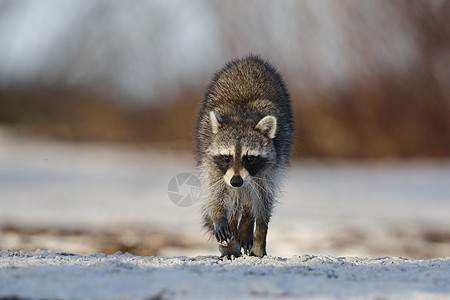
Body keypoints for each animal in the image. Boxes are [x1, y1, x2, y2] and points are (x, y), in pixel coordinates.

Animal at [194, 55, 294, 258]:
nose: (236, 181)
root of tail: (250, 59)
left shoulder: (271, 164)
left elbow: (263, 200)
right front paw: (220, 218)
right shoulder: (213, 164)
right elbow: (216, 193)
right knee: (235, 200)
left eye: (250, 158)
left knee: (248, 198)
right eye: (226, 157)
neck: (242, 116)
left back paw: (246, 224)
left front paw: (259, 234)